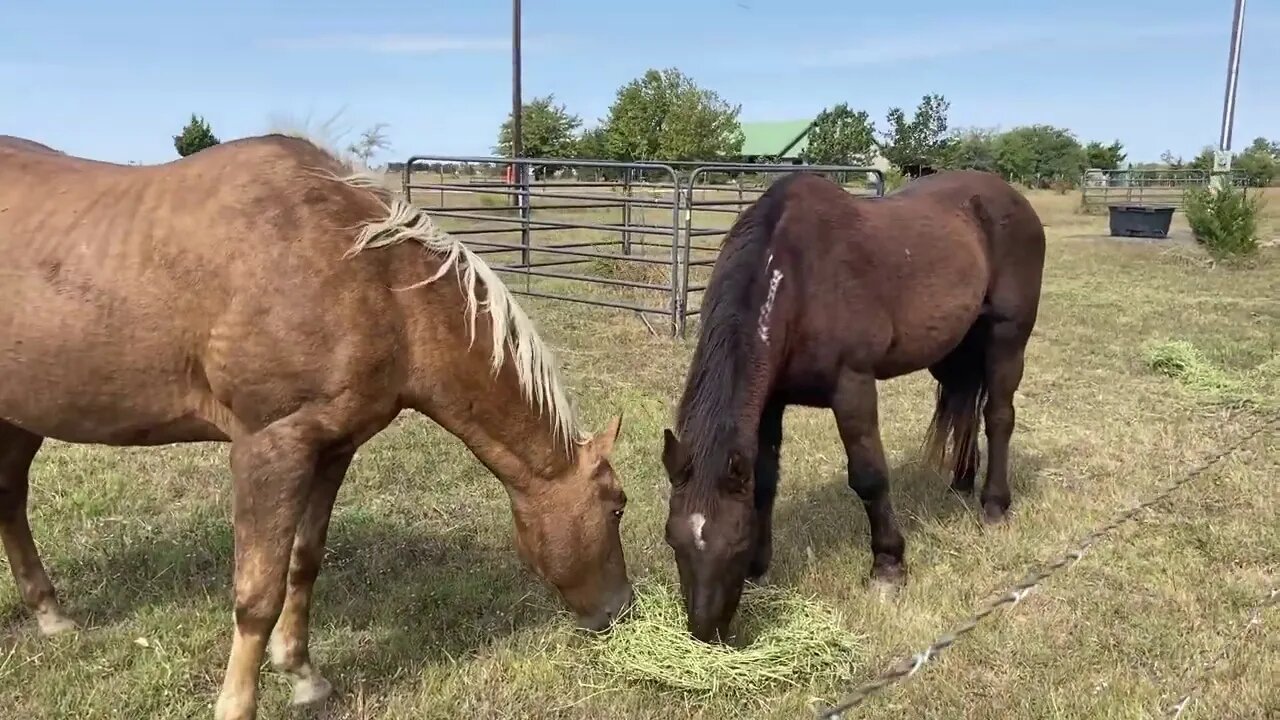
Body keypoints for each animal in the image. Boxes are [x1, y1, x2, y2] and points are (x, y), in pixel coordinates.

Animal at [0, 133, 634, 712]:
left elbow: (303, 564)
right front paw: (238, 703)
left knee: (10, 501)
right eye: (617, 507)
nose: (622, 610)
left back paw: (50, 615)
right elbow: (257, 592)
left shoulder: (332, 448)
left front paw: (303, 674)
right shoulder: (269, 448)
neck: (375, 280)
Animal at [665, 169, 1044, 638]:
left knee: (998, 416)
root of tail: (1013, 197)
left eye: (734, 540)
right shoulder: (771, 402)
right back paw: (960, 483)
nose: (705, 631)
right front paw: (761, 569)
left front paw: (888, 567)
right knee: (967, 411)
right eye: (672, 538)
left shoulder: (853, 388)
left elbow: (869, 477)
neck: (796, 276)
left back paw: (994, 506)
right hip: (956, 350)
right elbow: (766, 480)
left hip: (1007, 338)